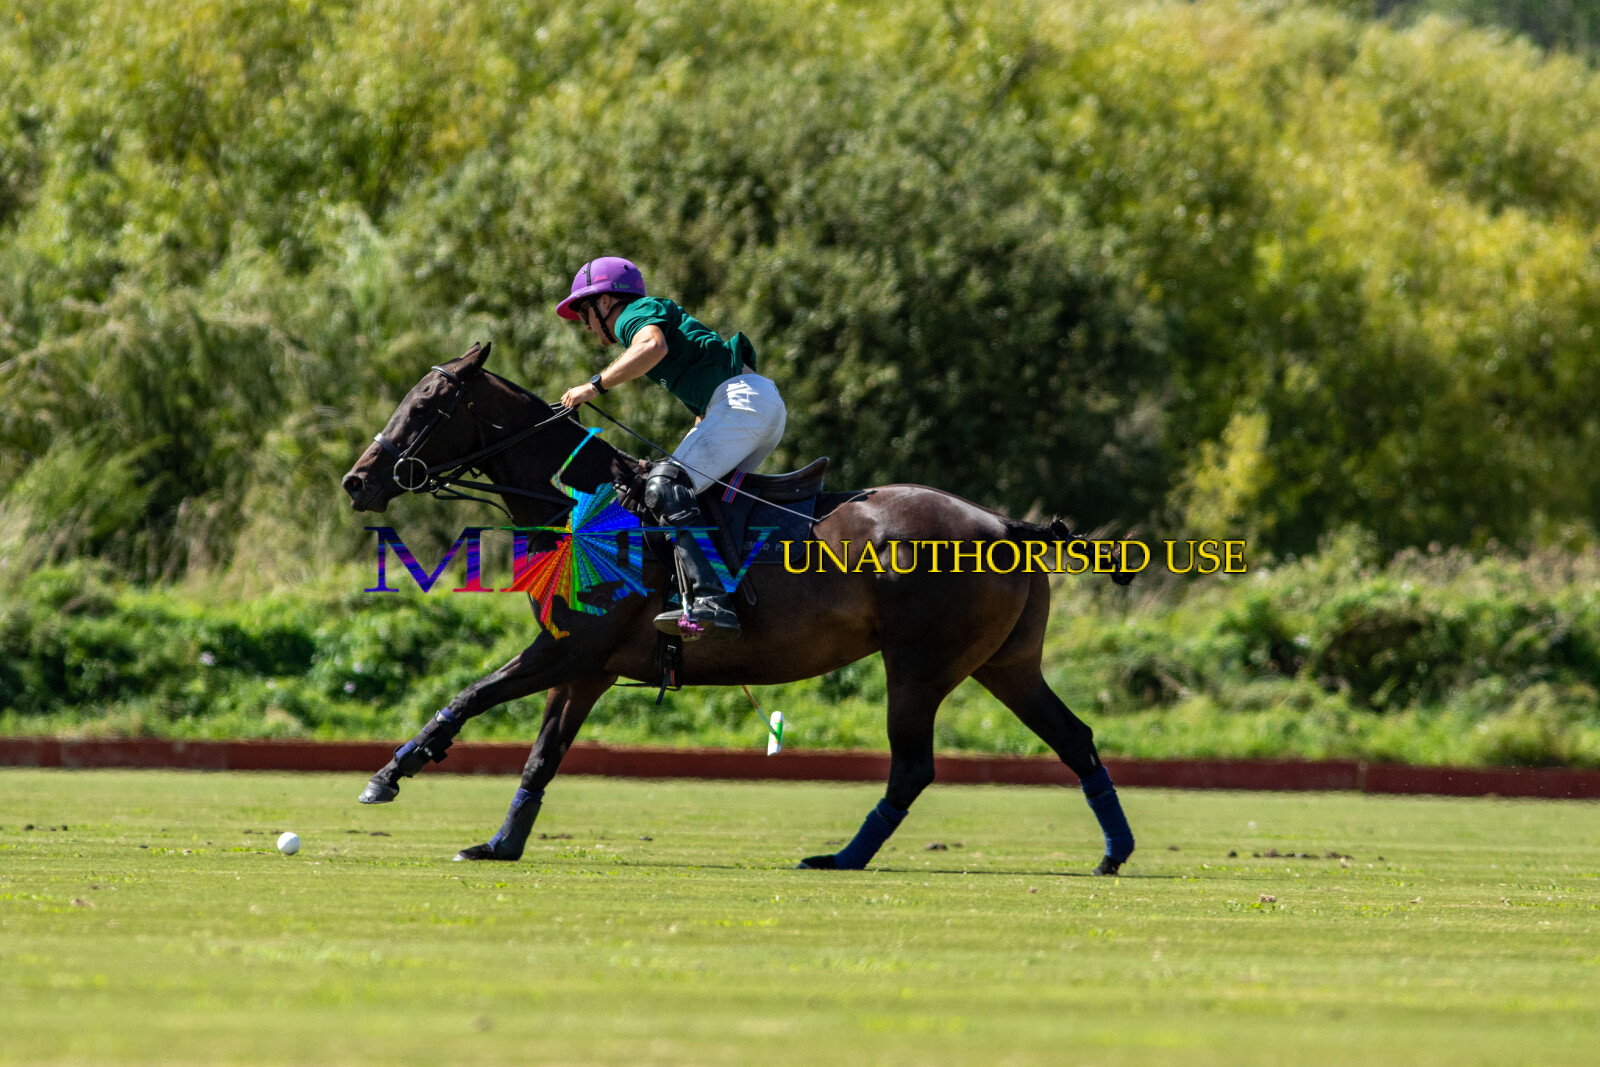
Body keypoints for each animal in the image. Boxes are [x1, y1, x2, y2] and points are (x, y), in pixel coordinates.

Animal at [340, 342, 1136, 873]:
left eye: (425, 405)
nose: (358, 481)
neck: (580, 505)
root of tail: (1003, 525)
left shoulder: (568, 652)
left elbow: (470, 695)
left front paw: (390, 774)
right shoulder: (586, 667)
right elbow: (541, 756)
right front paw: (500, 843)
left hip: (921, 665)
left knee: (913, 766)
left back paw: (841, 857)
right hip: (1006, 663)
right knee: (1074, 737)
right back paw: (1114, 850)